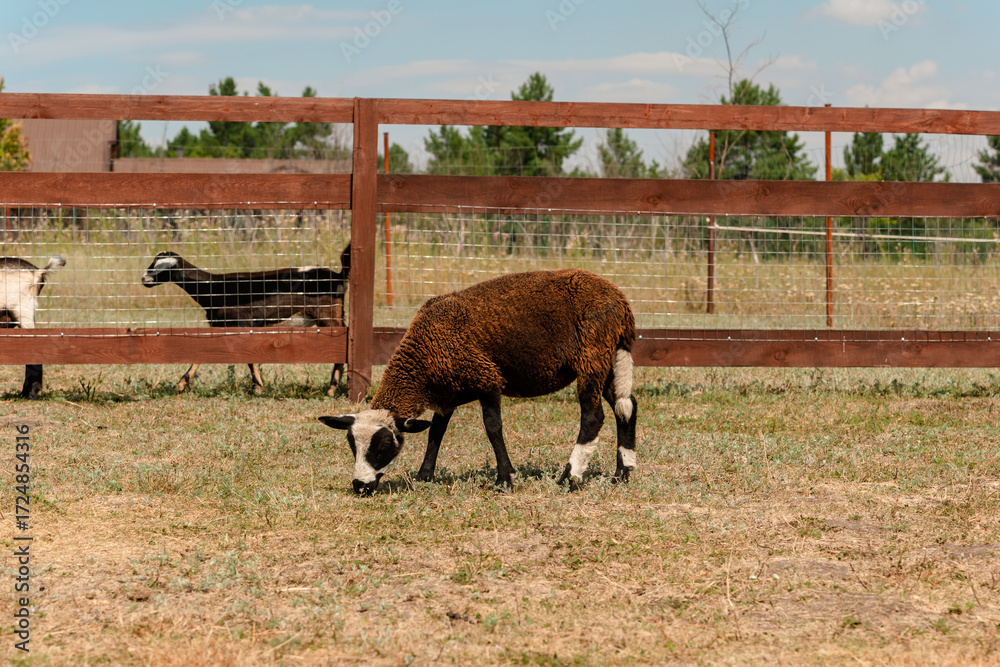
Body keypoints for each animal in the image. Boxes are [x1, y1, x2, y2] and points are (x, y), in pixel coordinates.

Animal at [141, 244, 350, 396]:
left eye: (161, 268)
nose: (144, 279)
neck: (214, 288)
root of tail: (338, 277)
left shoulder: (243, 324)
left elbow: (249, 358)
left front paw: (258, 387)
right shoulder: (221, 326)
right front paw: (181, 384)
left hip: (328, 316)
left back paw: (332, 389)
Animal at [320, 268, 638, 495]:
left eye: (384, 445)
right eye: (352, 445)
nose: (360, 487)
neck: (424, 359)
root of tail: (620, 301)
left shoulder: (486, 378)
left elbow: (492, 428)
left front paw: (506, 479)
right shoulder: (447, 395)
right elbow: (436, 433)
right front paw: (425, 476)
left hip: (592, 353)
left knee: (593, 415)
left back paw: (570, 477)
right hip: (609, 356)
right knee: (626, 406)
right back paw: (622, 474)